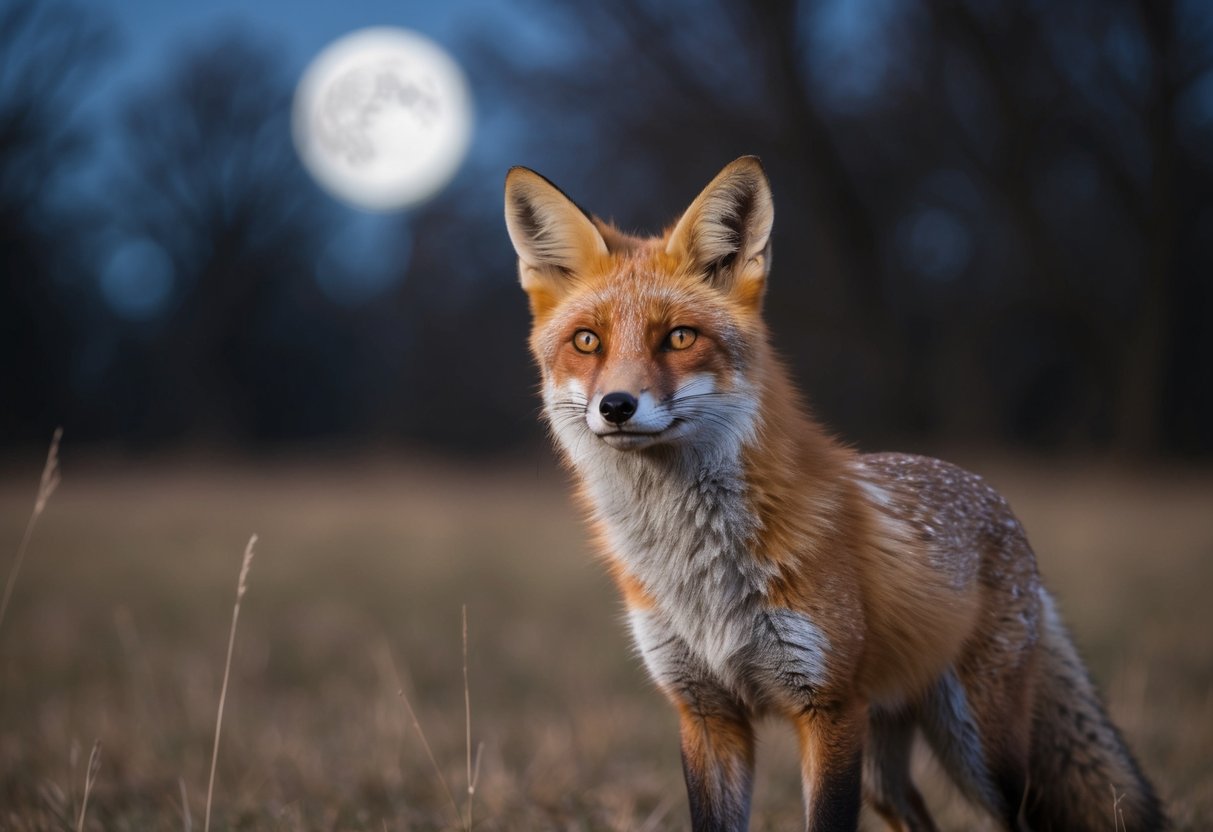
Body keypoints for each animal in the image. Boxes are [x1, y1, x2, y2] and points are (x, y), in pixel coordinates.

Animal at [503, 156, 1166, 832]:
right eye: (587, 341)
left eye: (680, 338)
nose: (616, 406)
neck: (697, 573)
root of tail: (995, 500)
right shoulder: (707, 712)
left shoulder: (828, 706)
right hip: (884, 765)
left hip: (977, 749)